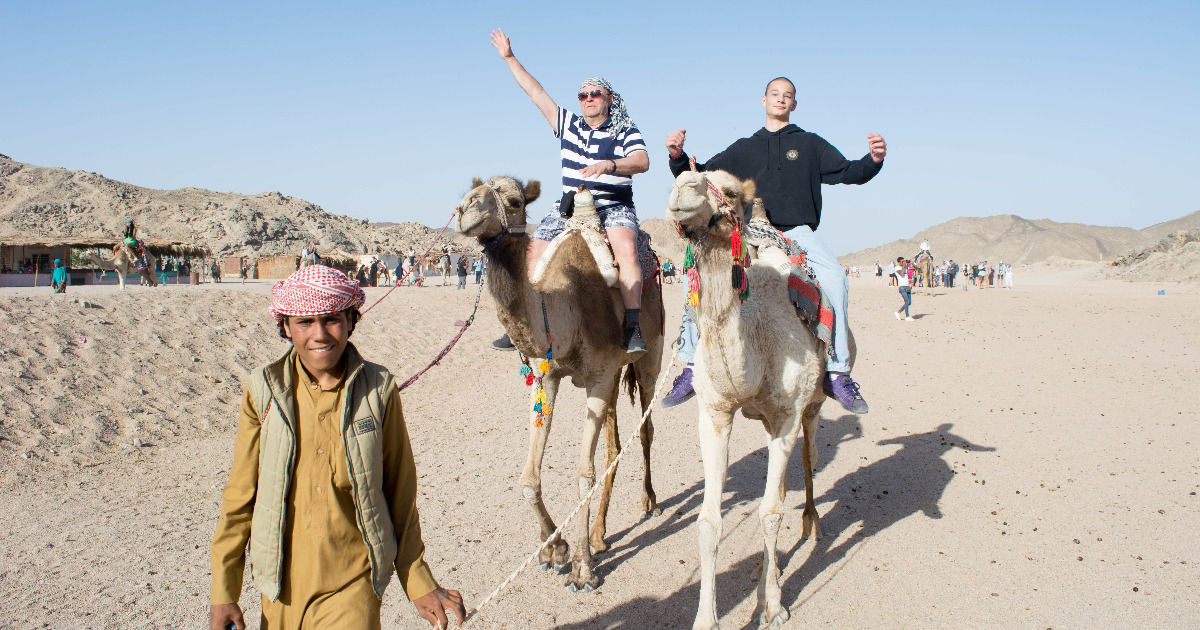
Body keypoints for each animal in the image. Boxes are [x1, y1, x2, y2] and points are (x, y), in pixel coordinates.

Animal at [456, 172, 667, 590]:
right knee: (614, 444)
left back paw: (647, 502)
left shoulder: (598, 376)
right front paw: (554, 549)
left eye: (515, 200)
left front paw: (583, 568)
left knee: (646, 429)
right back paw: (600, 533)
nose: (465, 209)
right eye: (472, 192)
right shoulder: (547, 377)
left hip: (650, 357)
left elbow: (583, 474)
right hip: (615, 377)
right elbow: (528, 477)